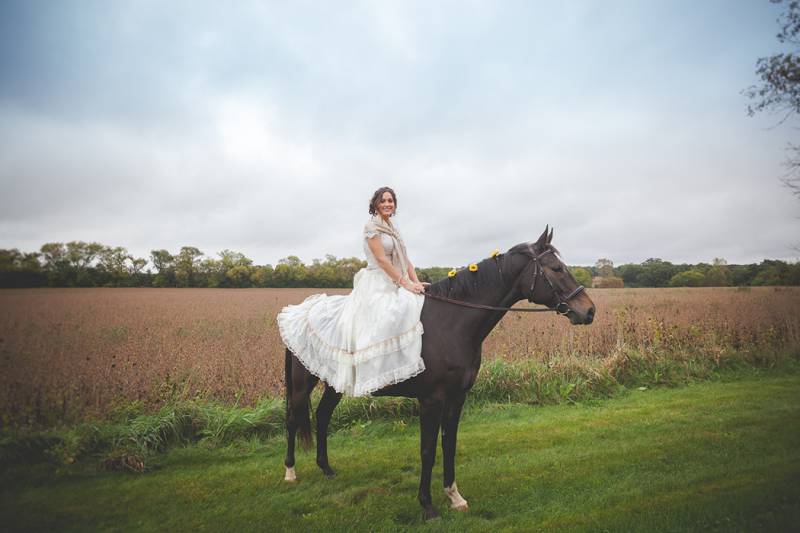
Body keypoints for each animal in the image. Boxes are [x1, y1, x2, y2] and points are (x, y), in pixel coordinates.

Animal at [282, 225, 592, 520]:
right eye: (556, 269)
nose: (589, 311)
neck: (451, 323)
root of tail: (300, 309)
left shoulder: (457, 398)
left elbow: (449, 445)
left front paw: (454, 496)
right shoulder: (431, 400)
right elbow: (428, 450)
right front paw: (428, 505)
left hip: (335, 382)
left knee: (322, 416)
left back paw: (327, 469)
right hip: (302, 383)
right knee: (293, 420)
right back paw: (290, 472)